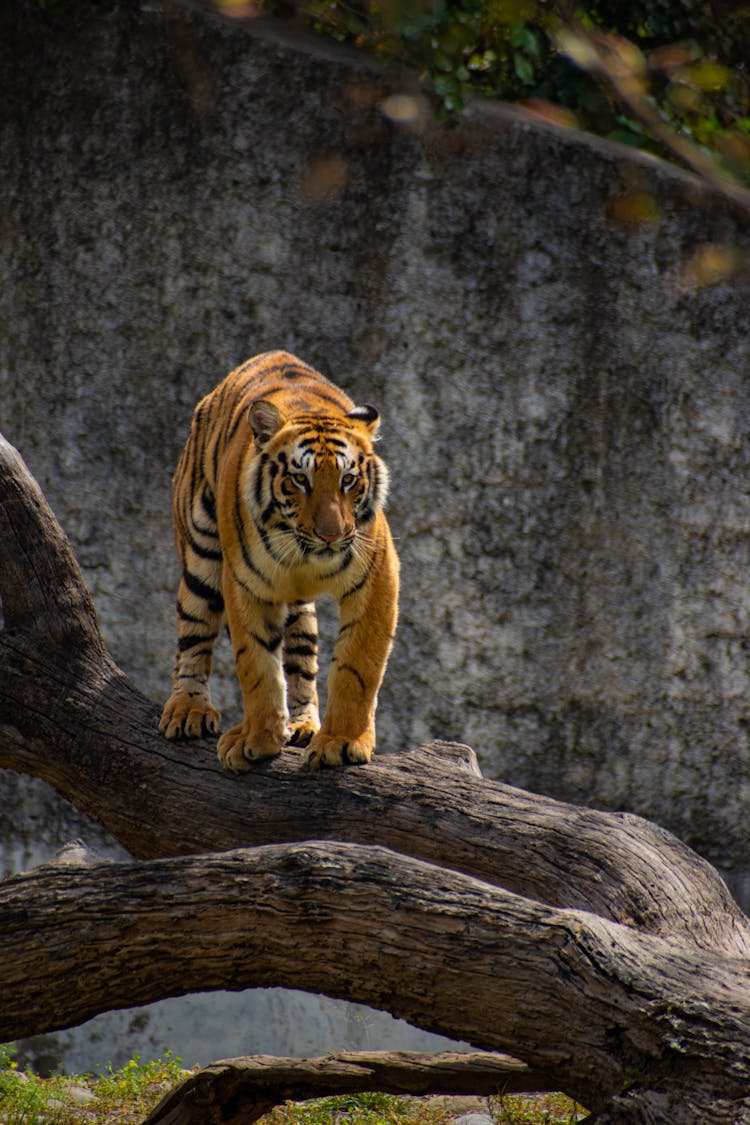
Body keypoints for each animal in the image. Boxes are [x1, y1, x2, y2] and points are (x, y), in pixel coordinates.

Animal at [157, 351, 398, 774]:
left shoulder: (376, 575)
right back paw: (188, 708)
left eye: (348, 480)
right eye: (300, 480)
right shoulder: (245, 582)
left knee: (302, 659)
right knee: (193, 635)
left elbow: (357, 666)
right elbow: (257, 666)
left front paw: (341, 741)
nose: (331, 535)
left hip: (300, 610)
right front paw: (257, 739)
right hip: (200, 558)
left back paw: (304, 724)